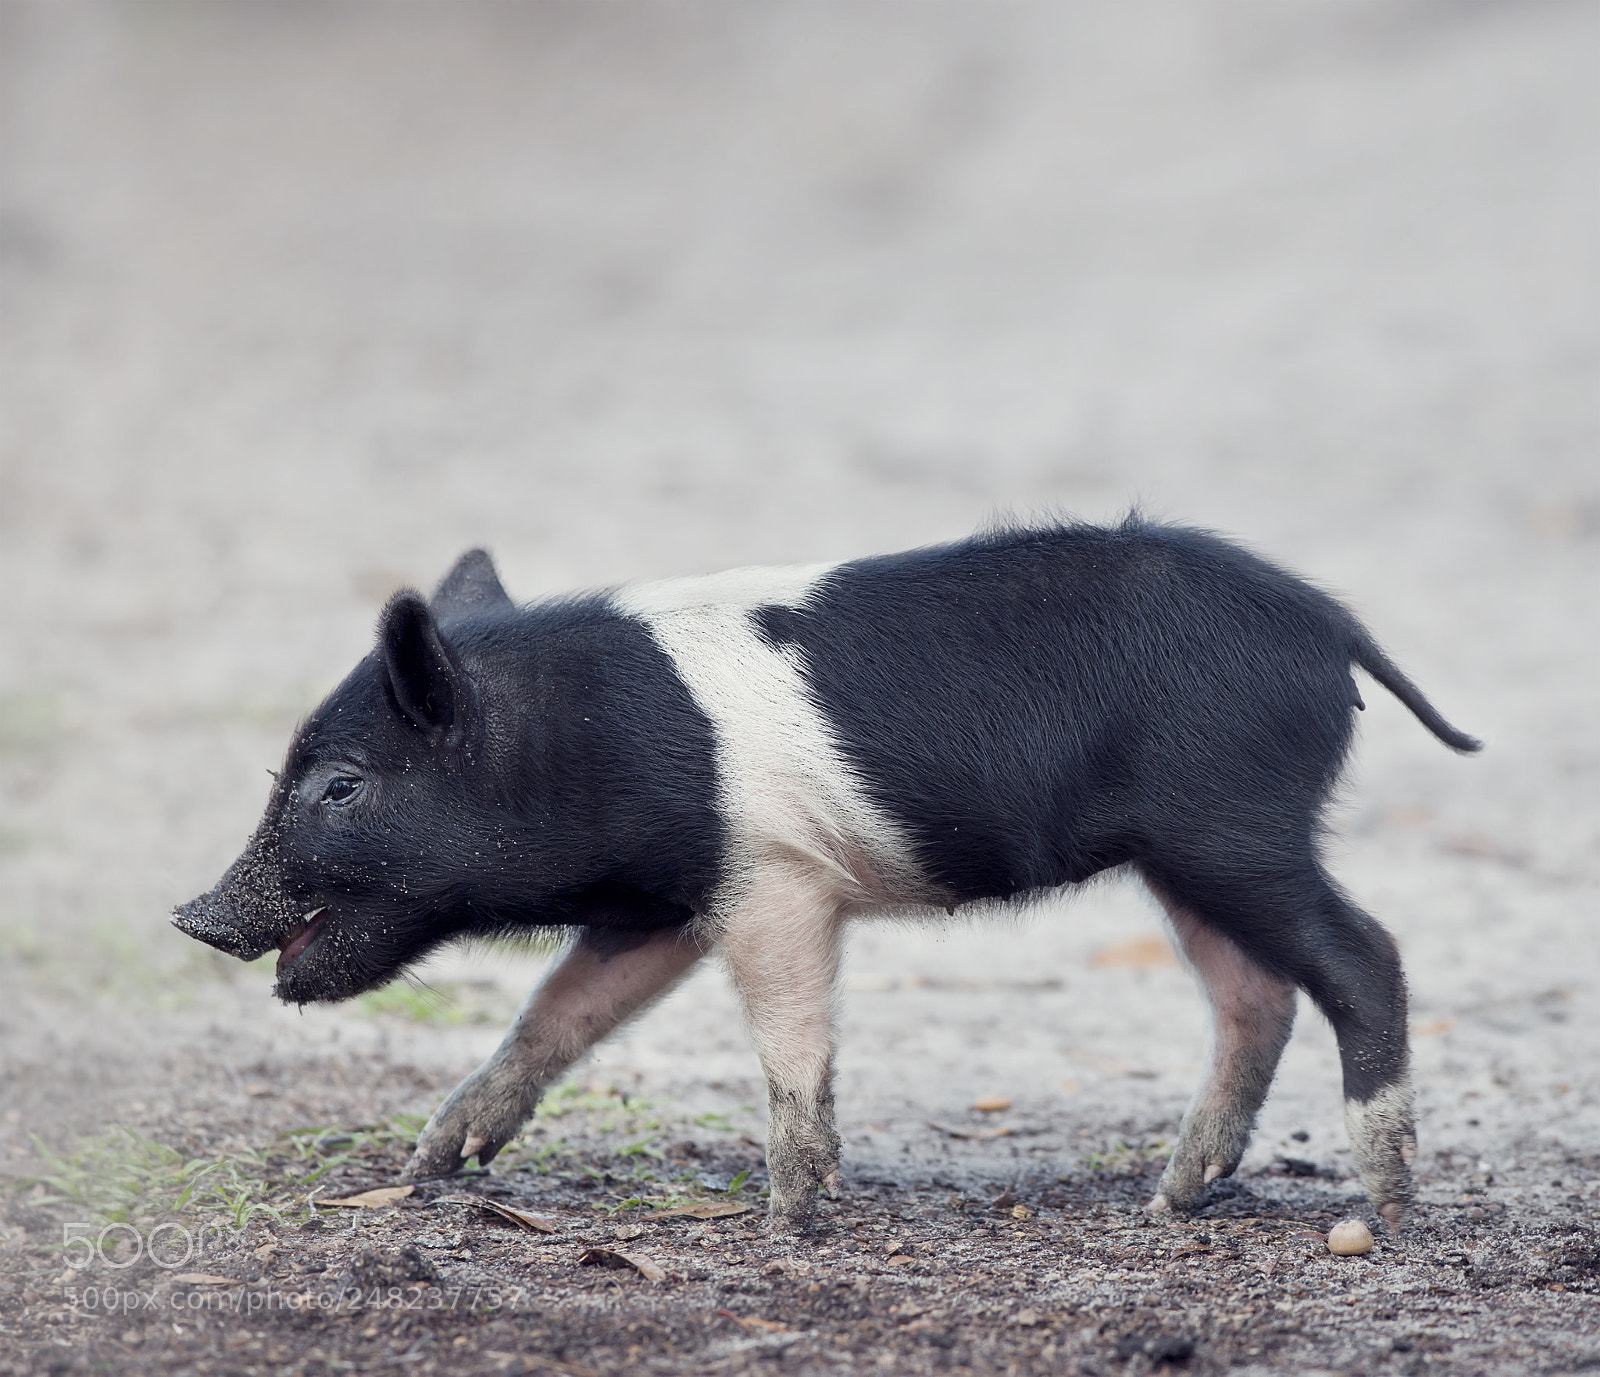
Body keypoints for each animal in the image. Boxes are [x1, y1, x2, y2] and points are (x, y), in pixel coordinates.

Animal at [173, 516, 1479, 1233]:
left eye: (340, 786)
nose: (191, 914)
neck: (578, 744)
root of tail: (1330, 630)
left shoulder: (773, 880)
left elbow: (790, 1037)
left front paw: (791, 1215)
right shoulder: (666, 905)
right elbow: (558, 1014)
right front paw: (435, 1163)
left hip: (1234, 826)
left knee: (1365, 956)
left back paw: (1386, 1206)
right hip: (1183, 855)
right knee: (1252, 996)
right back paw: (1168, 1200)